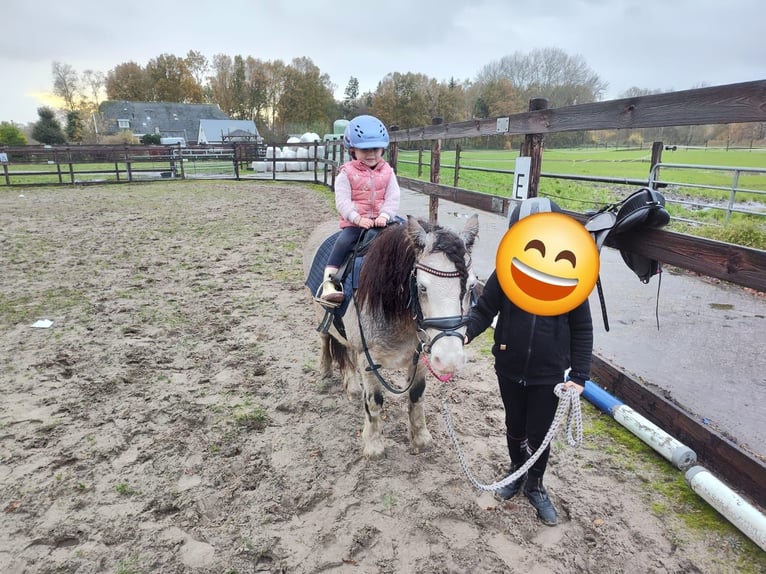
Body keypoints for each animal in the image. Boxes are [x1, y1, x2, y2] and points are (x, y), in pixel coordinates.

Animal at [303, 214, 479, 458]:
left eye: (471, 286)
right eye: (422, 287)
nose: (449, 360)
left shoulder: (419, 357)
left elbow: (416, 395)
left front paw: (420, 438)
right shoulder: (369, 361)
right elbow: (374, 402)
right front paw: (373, 445)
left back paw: (352, 385)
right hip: (320, 312)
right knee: (325, 339)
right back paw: (326, 370)